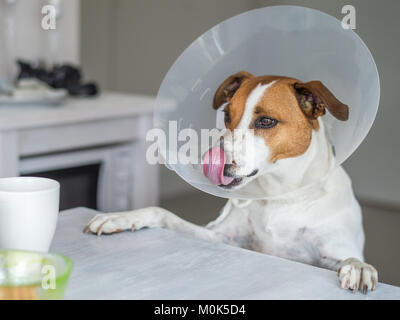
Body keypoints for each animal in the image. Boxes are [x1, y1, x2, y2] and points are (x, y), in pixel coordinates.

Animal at [84, 71, 378, 294]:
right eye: (226, 115)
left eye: (266, 121)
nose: (211, 163)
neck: (281, 195)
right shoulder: (220, 237)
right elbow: (162, 213)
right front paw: (121, 217)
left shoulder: (331, 250)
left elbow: (350, 258)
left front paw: (359, 268)